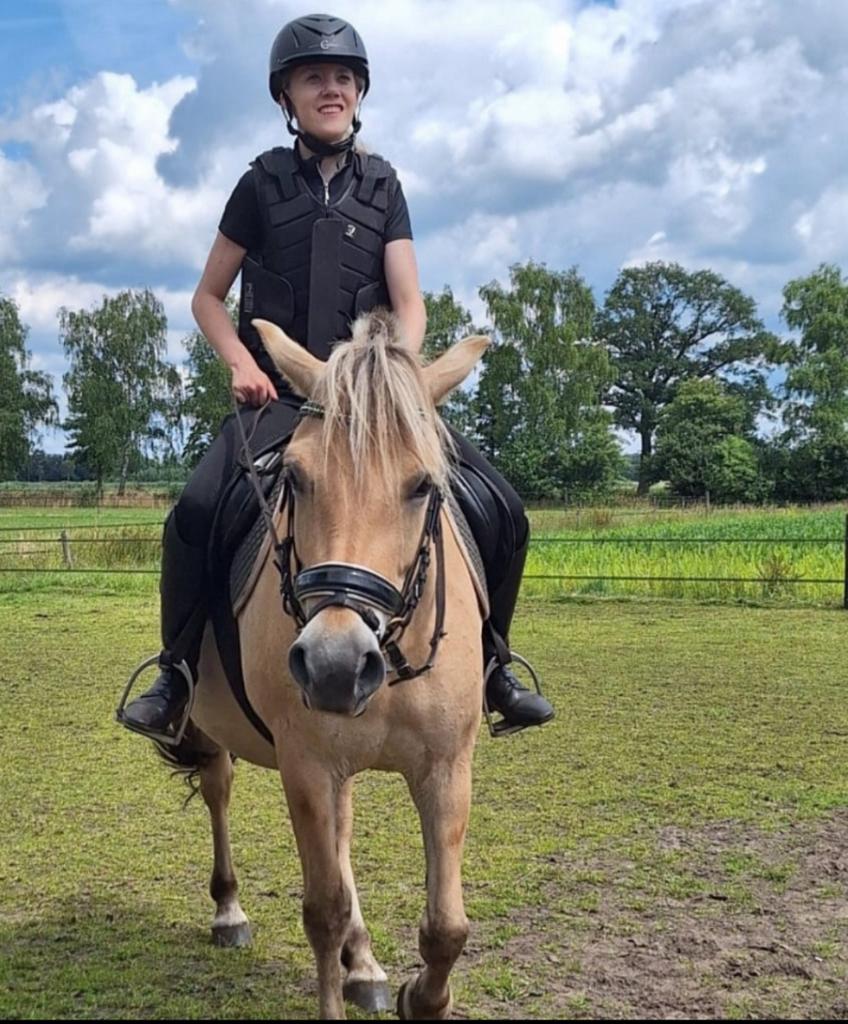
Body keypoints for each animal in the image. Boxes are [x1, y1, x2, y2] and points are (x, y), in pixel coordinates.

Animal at [172, 310, 490, 1019]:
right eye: (293, 477)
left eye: (423, 484)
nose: (335, 665)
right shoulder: (308, 765)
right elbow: (323, 911)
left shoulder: (446, 767)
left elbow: (447, 928)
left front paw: (417, 995)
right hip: (213, 728)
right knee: (218, 787)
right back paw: (230, 912)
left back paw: (364, 964)